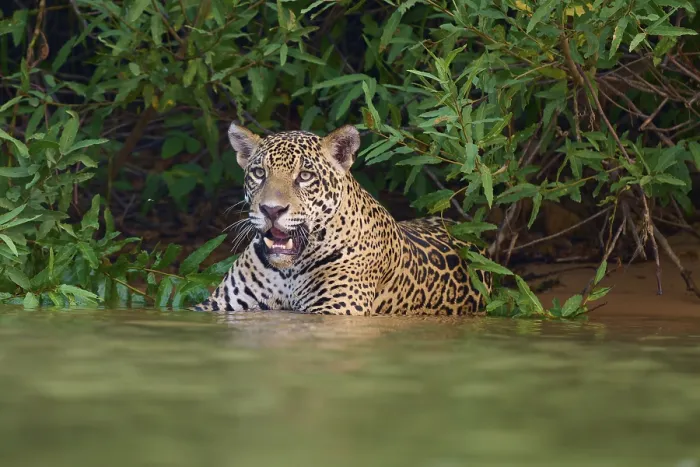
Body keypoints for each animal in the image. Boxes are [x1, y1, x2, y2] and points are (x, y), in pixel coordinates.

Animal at [192, 123, 492, 316]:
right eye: (258, 173)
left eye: (305, 176)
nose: (271, 210)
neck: (288, 271)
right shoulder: (215, 306)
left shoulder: (337, 309)